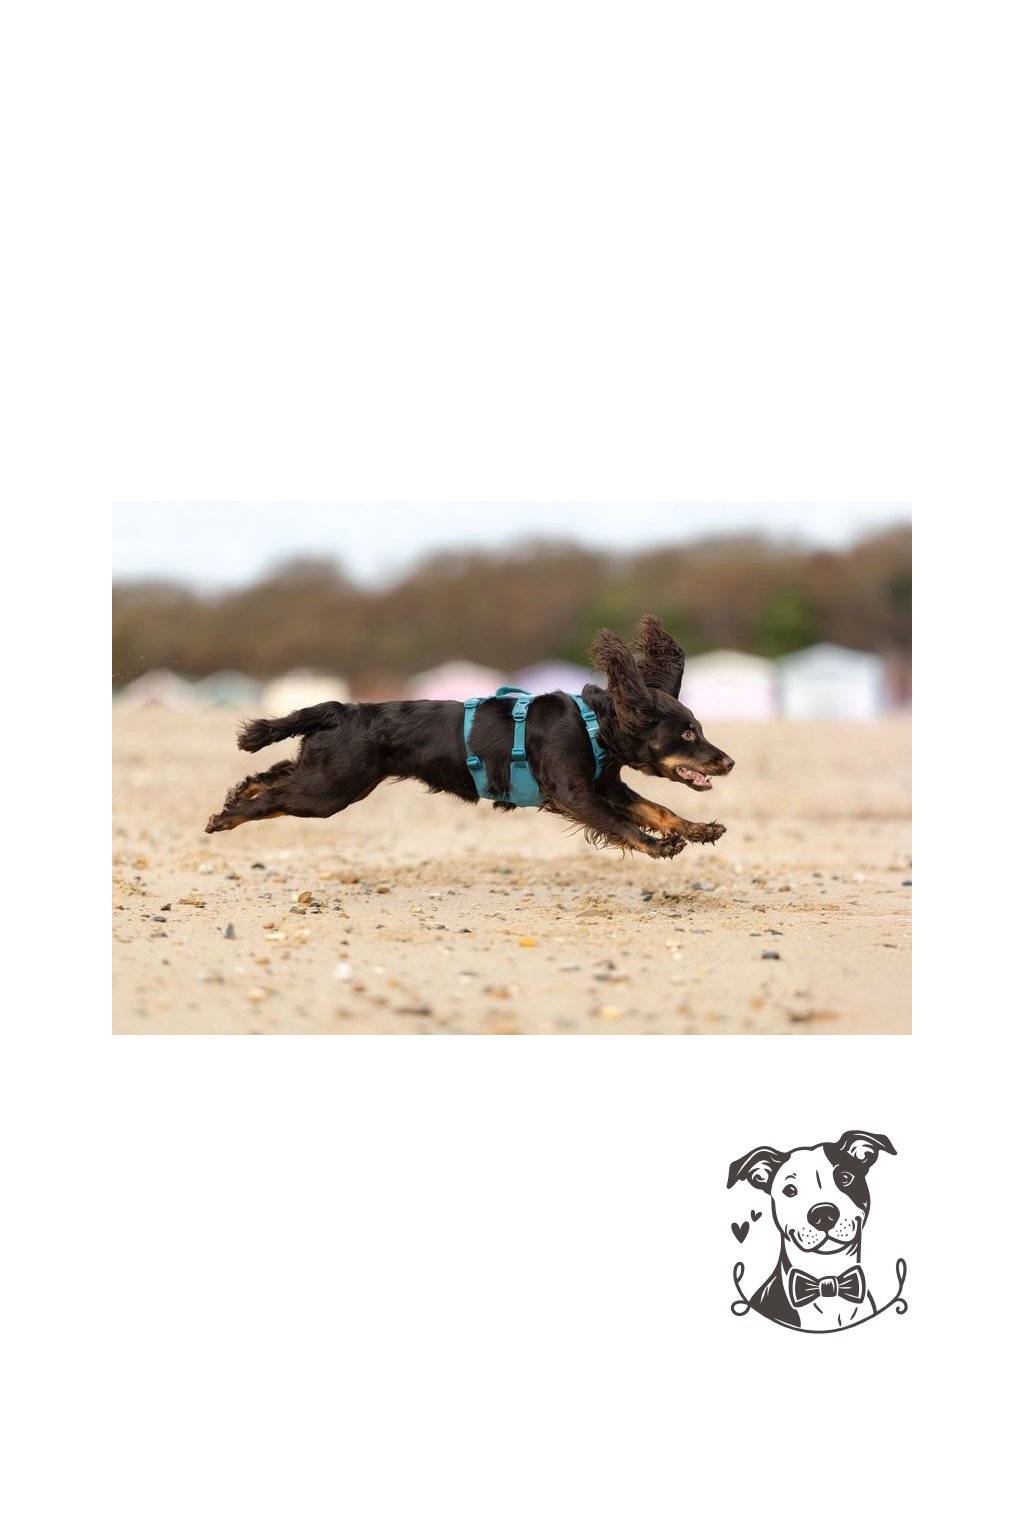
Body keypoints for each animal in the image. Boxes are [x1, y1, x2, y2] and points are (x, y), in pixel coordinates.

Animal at [205, 615, 735, 855]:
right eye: (689, 733)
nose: (728, 761)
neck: (594, 725)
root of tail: (343, 709)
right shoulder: (575, 792)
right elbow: (622, 823)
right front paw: (660, 846)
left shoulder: (607, 784)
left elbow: (656, 808)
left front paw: (698, 828)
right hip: (330, 789)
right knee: (273, 797)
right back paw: (226, 817)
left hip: (328, 775)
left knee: (273, 774)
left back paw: (238, 792)